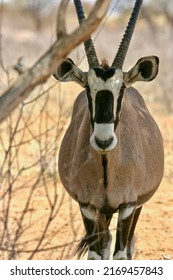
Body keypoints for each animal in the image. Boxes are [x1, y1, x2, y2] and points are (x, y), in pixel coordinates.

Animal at [53, 0, 164, 260]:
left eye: (121, 88)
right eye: (87, 88)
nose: (103, 141)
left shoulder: (128, 206)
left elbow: (120, 253)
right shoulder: (88, 206)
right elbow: (97, 254)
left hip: (136, 205)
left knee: (128, 244)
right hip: (103, 212)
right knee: (105, 243)